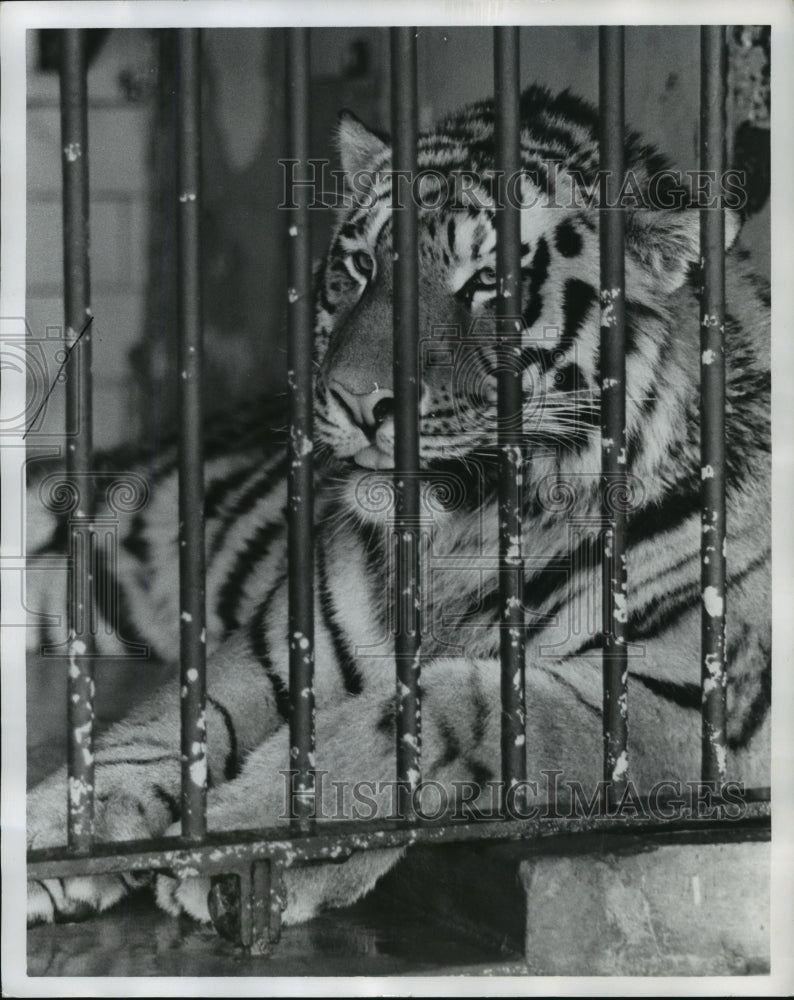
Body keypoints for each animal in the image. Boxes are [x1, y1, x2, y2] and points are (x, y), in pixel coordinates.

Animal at [26, 86, 768, 928]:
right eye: (361, 264)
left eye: (486, 284)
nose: (352, 400)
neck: (465, 537)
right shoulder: (288, 644)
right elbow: (170, 725)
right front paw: (61, 831)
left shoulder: (677, 699)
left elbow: (435, 713)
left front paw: (247, 847)